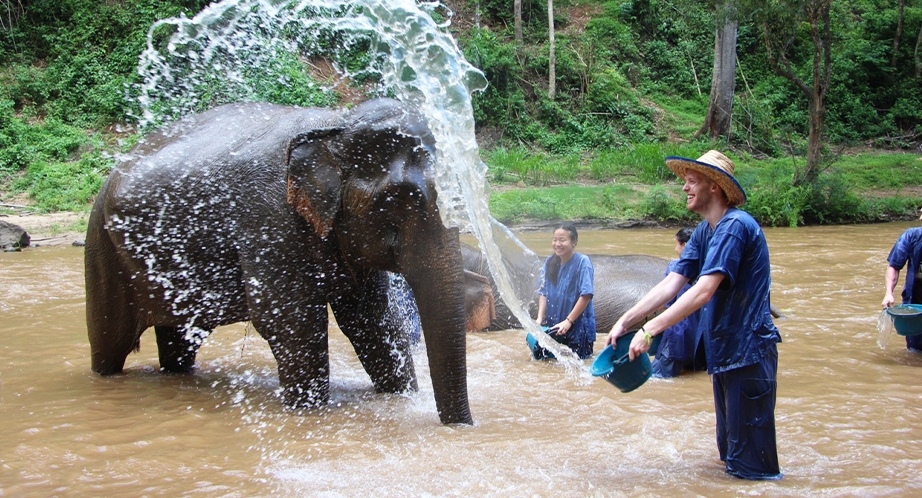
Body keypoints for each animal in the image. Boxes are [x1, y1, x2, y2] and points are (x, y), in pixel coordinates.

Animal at [85, 97, 470, 424]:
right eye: (396, 200)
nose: (460, 427)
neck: (336, 123)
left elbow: (372, 319)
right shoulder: (268, 221)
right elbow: (290, 321)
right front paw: (308, 414)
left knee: (179, 340)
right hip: (103, 250)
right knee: (110, 343)